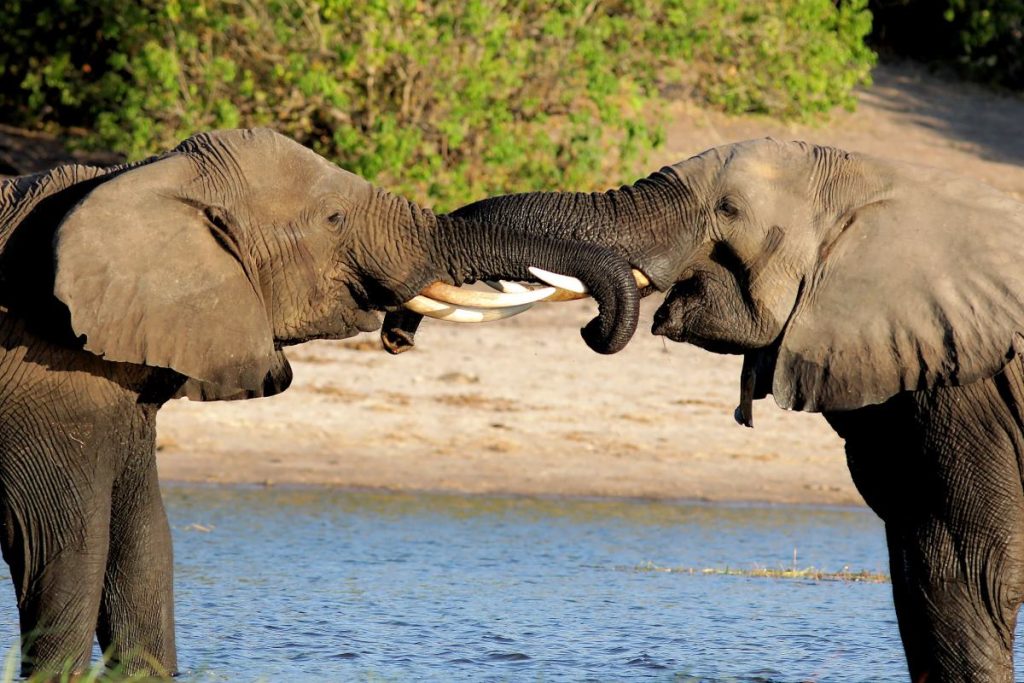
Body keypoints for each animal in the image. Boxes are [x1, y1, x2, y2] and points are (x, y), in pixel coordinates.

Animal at [0, 127, 638, 679]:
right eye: (334, 218)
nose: (594, 329)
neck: (143, 180)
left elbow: (144, 547)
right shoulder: (42, 375)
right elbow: (68, 550)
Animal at [428, 136, 1024, 679]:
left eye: (728, 209)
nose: (592, 325)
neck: (888, 186)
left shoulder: (972, 388)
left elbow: (969, 571)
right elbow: (915, 572)